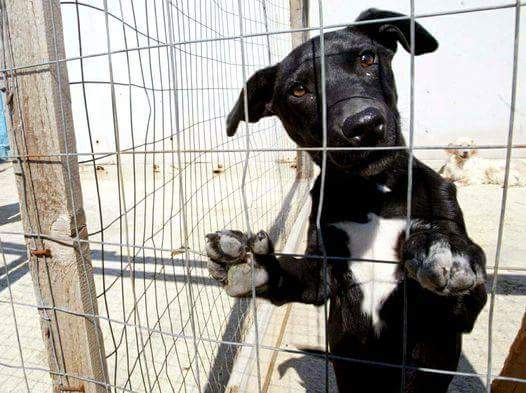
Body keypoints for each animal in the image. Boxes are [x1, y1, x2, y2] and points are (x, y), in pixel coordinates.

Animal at [204, 9, 488, 392]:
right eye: (299, 90)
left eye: (367, 58)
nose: (364, 125)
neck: (372, 194)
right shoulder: (321, 276)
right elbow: (296, 274)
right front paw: (253, 263)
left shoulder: (458, 316)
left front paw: (442, 248)